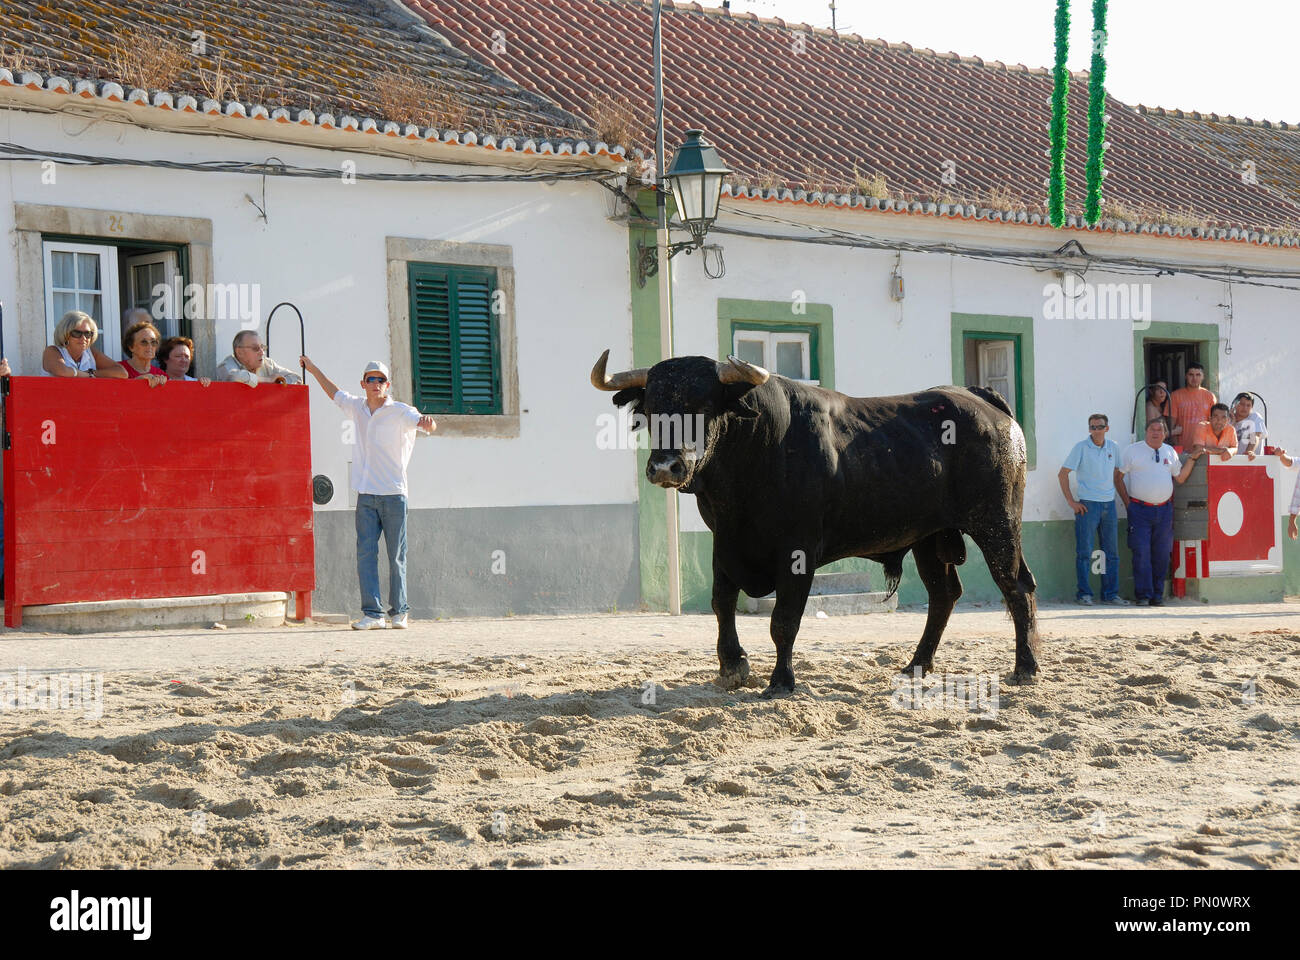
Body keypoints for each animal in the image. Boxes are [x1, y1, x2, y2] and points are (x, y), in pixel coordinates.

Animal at [595, 348, 1040, 697]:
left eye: (703, 407)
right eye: (651, 410)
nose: (665, 467)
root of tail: (981, 401)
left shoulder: (798, 550)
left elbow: (784, 619)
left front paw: (780, 681)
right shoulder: (724, 543)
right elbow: (722, 602)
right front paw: (732, 666)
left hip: (997, 524)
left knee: (1015, 586)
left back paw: (1025, 668)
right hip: (930, 537)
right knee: (944, 595)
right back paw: (915, 666)